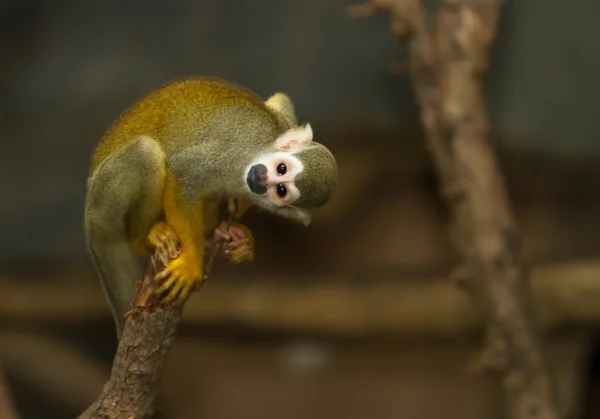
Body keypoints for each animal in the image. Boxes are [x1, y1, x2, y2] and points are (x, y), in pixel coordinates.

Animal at [84, 77, 338, 336]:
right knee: (145, 151)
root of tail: (91, 219)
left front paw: (238, 208)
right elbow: (183, 174)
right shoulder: (229, 157)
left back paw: (215, 236)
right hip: (104, 199)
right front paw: (192, 262)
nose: (260, 179)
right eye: (282, 168)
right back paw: (146, 236)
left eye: (281, 190)